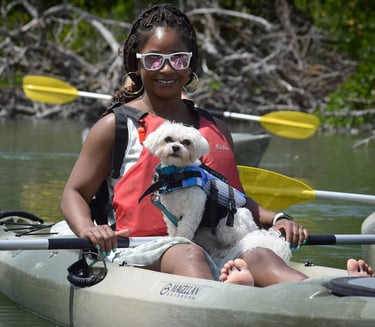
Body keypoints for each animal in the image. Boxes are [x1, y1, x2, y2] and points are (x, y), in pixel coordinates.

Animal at [141, 121, 258, 250]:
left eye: (187, 142)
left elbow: (186, 226)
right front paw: (173, 238)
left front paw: (181, 239)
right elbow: (172, 226)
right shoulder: (170, 211)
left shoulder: (194, 207)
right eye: (168, 139)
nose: (175, 147)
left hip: (229, 224)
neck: (178, 175)